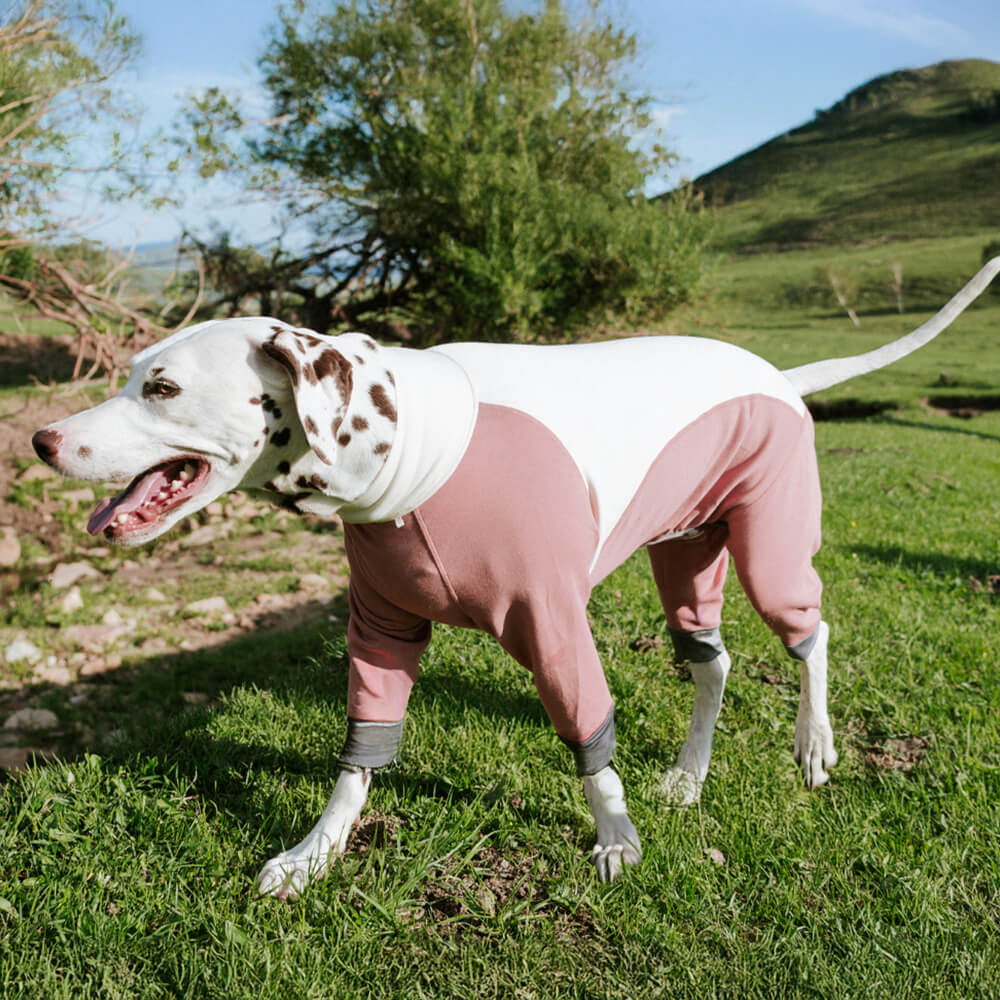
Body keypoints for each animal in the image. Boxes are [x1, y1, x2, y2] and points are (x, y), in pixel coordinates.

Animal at [33, 258, 1000, 900]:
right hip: (686, 557)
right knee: (714, 662)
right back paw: (689, 777)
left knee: (813, 634)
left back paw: (813, 744)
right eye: (128, 376)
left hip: (771, 552)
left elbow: (590, 741)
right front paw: (314, 853)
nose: (42, 439)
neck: (416, 450)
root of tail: (774, 373)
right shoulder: (380, 635)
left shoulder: (554, 625)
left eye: (161, 387)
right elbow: (360, 758)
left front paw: (615, 838)